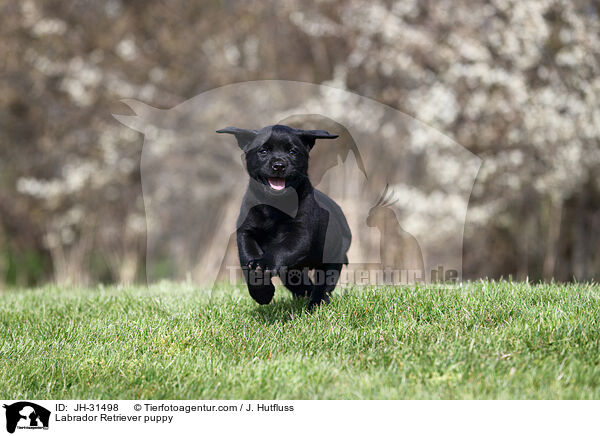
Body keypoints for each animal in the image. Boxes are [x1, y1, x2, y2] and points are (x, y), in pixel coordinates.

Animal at [217, 122, 352, 308]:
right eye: (263, 151)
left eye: (292, 152)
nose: (279, 165)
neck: (274, 206)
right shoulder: (246, 232)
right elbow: (247, 259)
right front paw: (262, 292)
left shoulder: (300, 235)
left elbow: (280, 250)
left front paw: (264, 264)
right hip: (293, 271)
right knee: (299, 283)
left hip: (333, 256)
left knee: (324, 284)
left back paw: (315, 304)